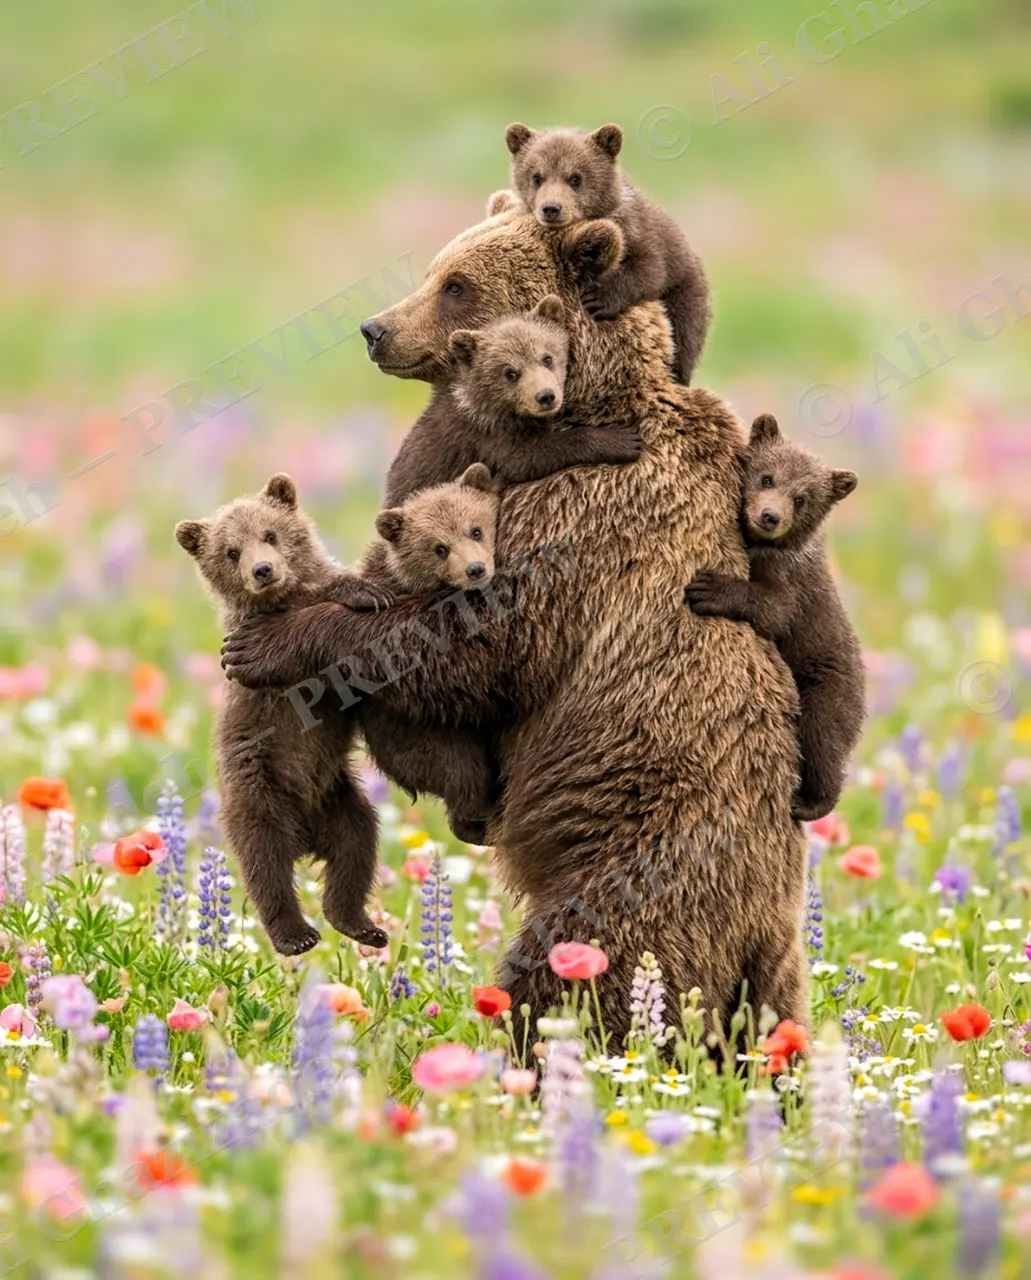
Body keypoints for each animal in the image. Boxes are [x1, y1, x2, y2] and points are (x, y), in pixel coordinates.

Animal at [175, 473, 391, 956]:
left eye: (270, 534)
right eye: (231, 551)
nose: (263, 570)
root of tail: (306, 835)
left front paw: (366, 588)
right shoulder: (262, 647)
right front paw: (364, 591)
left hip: (339, 797)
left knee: (357, 846)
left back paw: (361, 925)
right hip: (259, 791)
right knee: (266, 865)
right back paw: (296, 935)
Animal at [220, 205, 809, 1046]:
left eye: (458, 285)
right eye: (437, 269)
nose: (375, 329)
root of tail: (757, 925)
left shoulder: (570, 518)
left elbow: (481, 645)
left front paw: (268, 644)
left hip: (636, 863)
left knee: (581, 969)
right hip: (774, 965)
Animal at [494, 121, 711, 387]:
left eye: (575, 178)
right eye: (536, 177)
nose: (551, 208)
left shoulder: (639, 232)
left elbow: (649, 269)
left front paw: (597, 299)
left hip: (687, 298)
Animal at [685, 414, 865, 822]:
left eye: (802, 498)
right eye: (767, 477)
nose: (769, 516)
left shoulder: (792, 585)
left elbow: (773, 610)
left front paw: (709, 589)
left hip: (827, 688)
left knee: (823, 738)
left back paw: (810, 802)